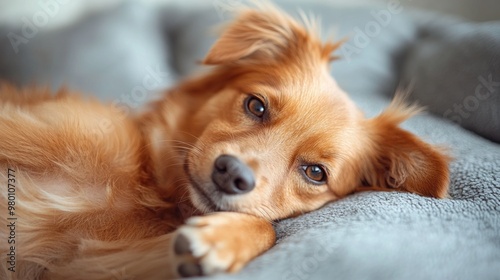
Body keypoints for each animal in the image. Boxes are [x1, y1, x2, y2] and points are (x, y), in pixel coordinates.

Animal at [0, 2, 450, 280]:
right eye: (256, 106)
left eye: (315, 173)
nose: (232, 173)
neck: (147, 188)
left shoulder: (83, 264)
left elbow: (265, 229)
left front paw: (220, 241)